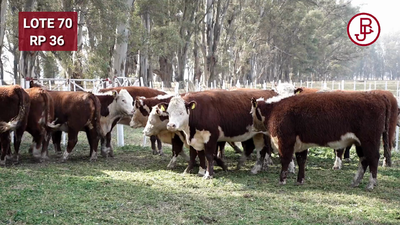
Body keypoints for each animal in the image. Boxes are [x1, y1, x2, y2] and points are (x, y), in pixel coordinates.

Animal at [252, 91, 392, 190]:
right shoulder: (301, 143)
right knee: (364, 160)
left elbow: (285, 160)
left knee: (373, 158)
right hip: (360, 144)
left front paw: (282, 180)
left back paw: (371, 184)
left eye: (251, 111)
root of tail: (377, 96)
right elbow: (301, 160)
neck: (274, 109)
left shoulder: (284, 140)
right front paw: (299, 180)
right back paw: (355, 182)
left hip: (369, 140)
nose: (252, 127)